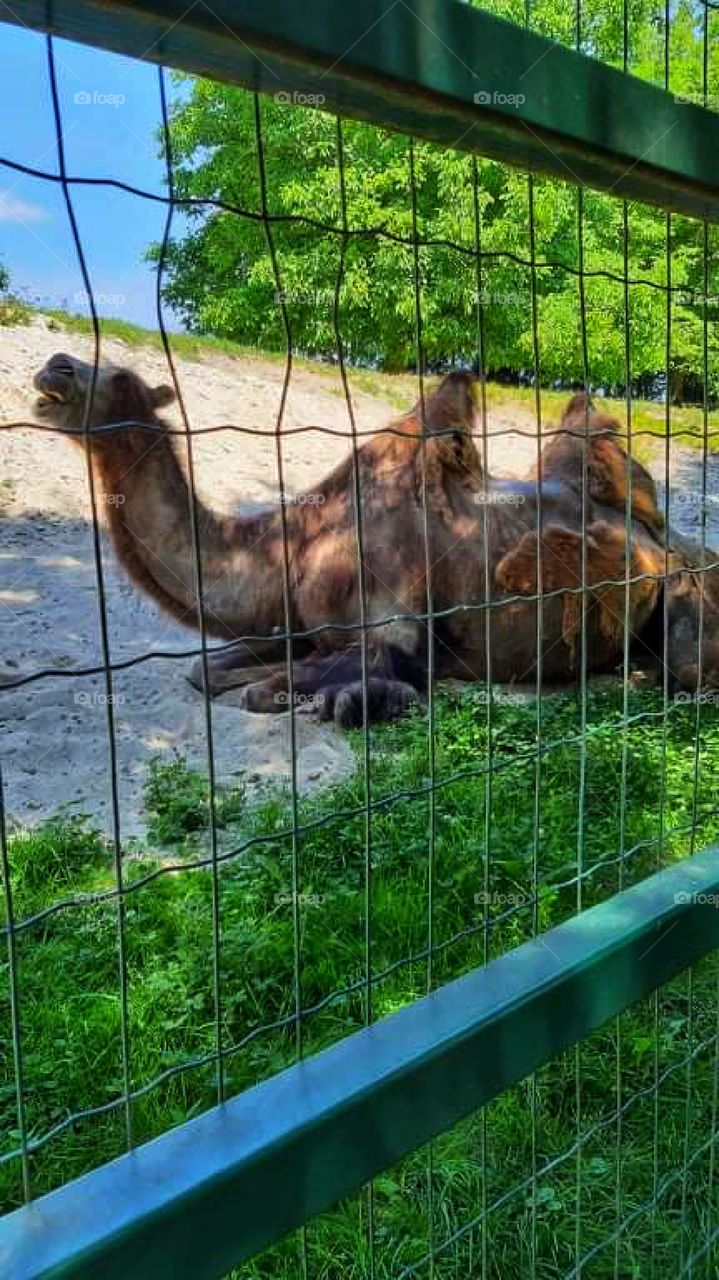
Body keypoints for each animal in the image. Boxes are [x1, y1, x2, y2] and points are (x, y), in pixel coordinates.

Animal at [31, 352, 719, 725]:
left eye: (122, 378)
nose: (54, 367)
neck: (295, 548)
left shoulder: (389, 625)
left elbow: (284, 686)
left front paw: (364, 698)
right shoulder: (298, 624)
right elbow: (208, 671)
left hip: (686, 585)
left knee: (689, 669)